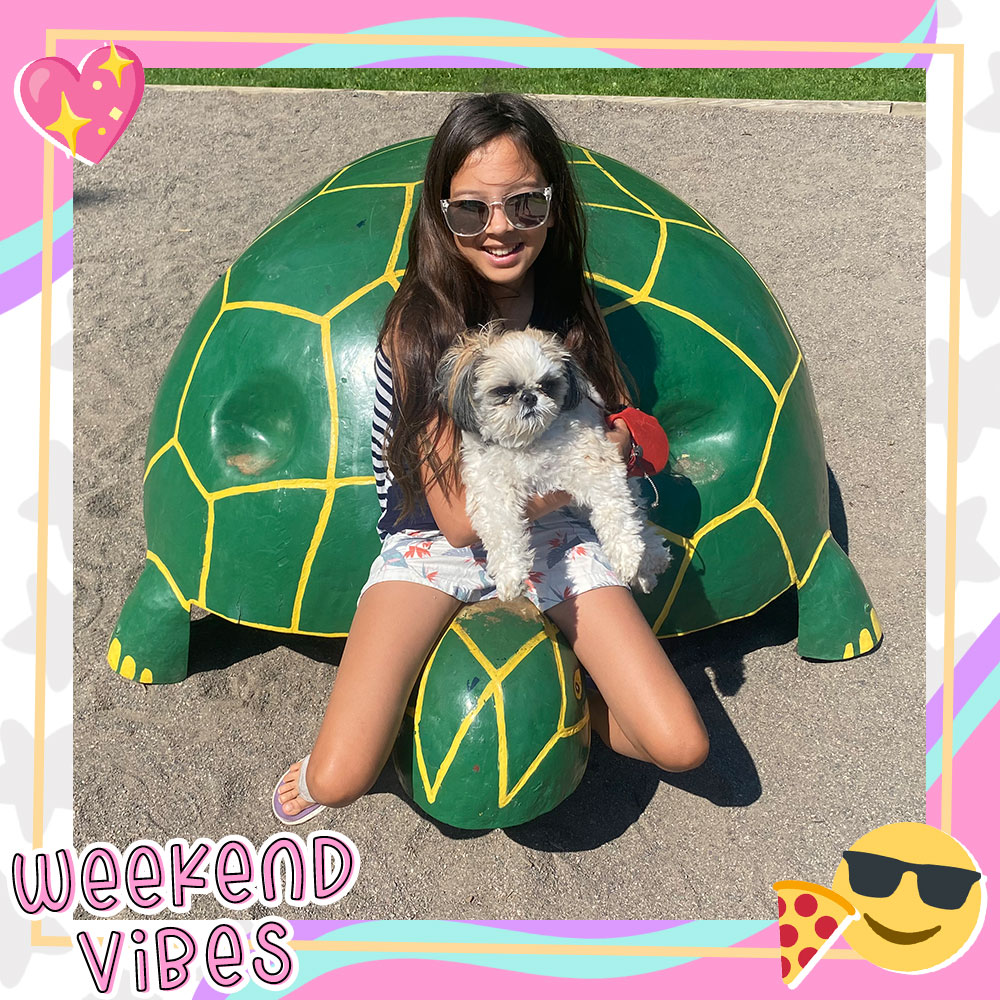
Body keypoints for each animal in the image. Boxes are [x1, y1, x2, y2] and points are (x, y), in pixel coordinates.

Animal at [432, 326, 672, 600]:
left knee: (637, 515)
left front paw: (629, 556)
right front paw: (510, 576)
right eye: (504, 391)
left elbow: (615, 512)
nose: (529, 397)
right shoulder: (491, 489)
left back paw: (652, 560)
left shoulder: (592, 462)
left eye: (547, 385)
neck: (526, 442)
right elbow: (502, 531)